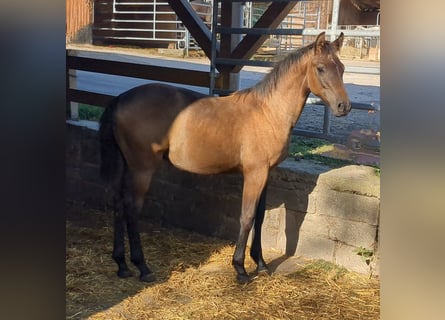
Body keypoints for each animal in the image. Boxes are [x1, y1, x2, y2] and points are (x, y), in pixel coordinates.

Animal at [100, 31, 350, 284]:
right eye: (320, 68)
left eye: (341, 67)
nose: (344, 106)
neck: (269, 112)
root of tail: (120, 99)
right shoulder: (254, 173)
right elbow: (247, 217)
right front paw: (240, 268)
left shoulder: (266, 173)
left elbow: (260, 217)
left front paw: (261, 264)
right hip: (142, 169)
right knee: (131, 208)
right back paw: (143, 267)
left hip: (126, 165)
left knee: (119, 204)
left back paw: (121, 264)